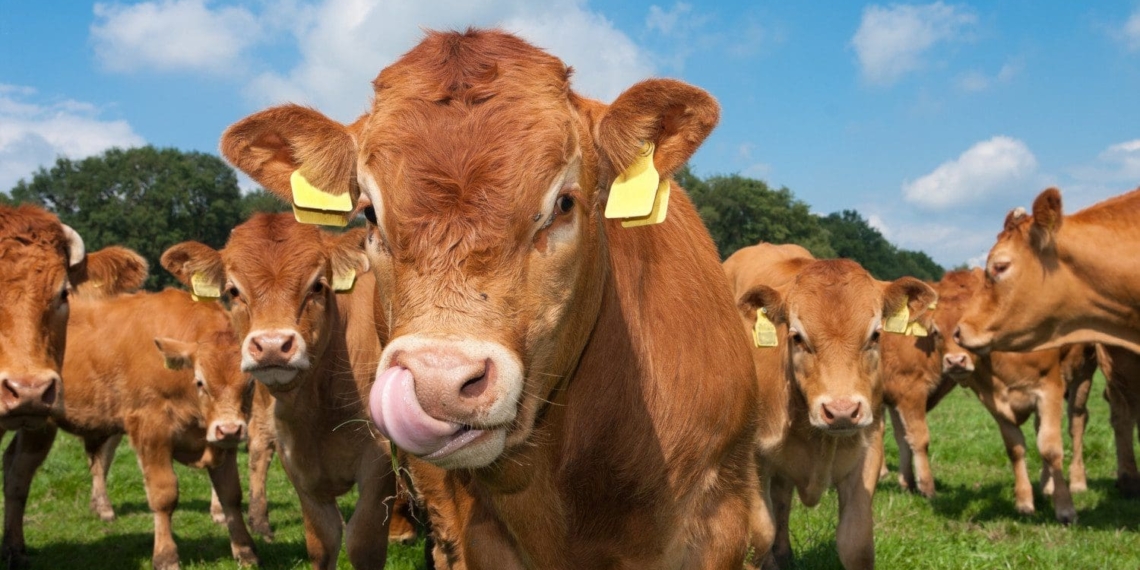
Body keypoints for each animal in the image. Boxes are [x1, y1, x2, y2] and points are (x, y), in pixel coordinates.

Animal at [4, 288, 260, 570]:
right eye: (200, 382)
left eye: (250, 385)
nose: (229, 429)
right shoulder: (150, 429)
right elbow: (163, 494)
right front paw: (166, 556)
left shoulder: (221, 442)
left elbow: (231, 494)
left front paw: (245, 550)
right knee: (18, 479)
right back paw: (15, 549)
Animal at [162, 214, 399, 570]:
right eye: (233, 290)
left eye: (318, 285)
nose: (272, 345)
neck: (318, 410)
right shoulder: (295, 459)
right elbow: (323, 541)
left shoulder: (380, 457)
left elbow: (362, 542)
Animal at [726, 242, 937, 569]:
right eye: (797, 337)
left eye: (875, 334)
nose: (841, 411)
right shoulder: (751, 458)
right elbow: (759, 534)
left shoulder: (868, 448)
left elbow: (856, 541)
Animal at [936, 268, 1085, 523]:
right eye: (935, 330)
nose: (955, 362)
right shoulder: (993, 401)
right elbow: (1015, 448)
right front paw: (1024, 502)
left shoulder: (1049, 388)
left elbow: (1050, 448)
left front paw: (1065, 508)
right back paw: (1047, 486)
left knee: (1076, 423)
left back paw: (1077, 481)